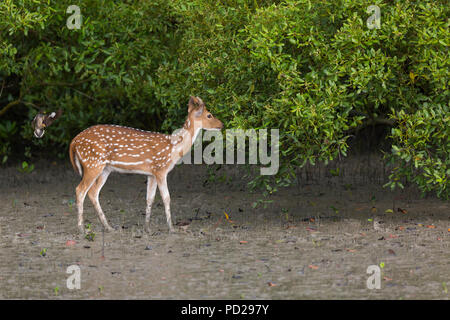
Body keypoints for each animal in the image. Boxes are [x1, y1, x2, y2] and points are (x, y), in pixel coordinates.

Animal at [68, 96, 223, 234]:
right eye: (209, 115)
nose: (221, 125)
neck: (173, 148)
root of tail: (74, 141)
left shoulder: (151, 173)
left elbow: (150, 198)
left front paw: (147, 228)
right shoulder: (161, 169)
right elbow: (166, 197)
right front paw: (171, 229)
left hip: (105, 169)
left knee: (93, 192)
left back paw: (108, 227)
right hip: (92, 163)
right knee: (80, 190)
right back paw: (82, 229)